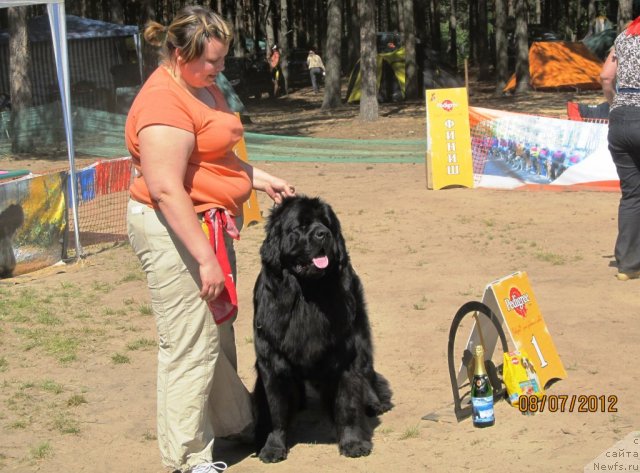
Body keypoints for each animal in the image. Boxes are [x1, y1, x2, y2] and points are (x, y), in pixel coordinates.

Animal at [251, 195, 392, 460]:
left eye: (327, 224)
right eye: (301, 226)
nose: (323, 234)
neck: (307, 297)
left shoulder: (345, 355)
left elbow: (347, 405)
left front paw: (353, 443)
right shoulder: (272, 360)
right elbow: (276, 409)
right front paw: (273, 446)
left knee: (366, 372)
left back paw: (373, 402)